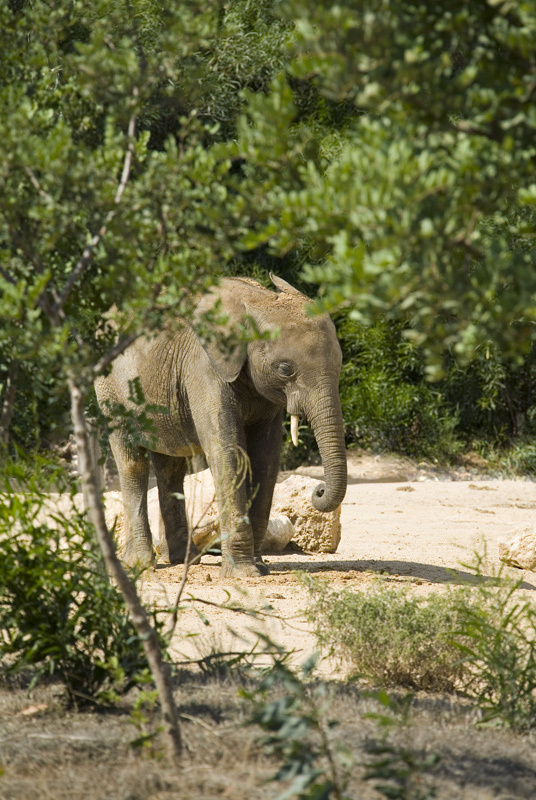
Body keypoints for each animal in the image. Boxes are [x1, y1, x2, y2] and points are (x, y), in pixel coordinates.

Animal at [95, 274, 347, 578]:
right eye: (285, 369)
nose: (319, 490)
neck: (257, 300)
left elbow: (266, 459)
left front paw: (260, 567)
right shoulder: (204, 368)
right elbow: (228, 453)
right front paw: (244, 573)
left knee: (170, 467)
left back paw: (184, 559)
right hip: (111, 391)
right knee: (132, 463)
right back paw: (141, 565)